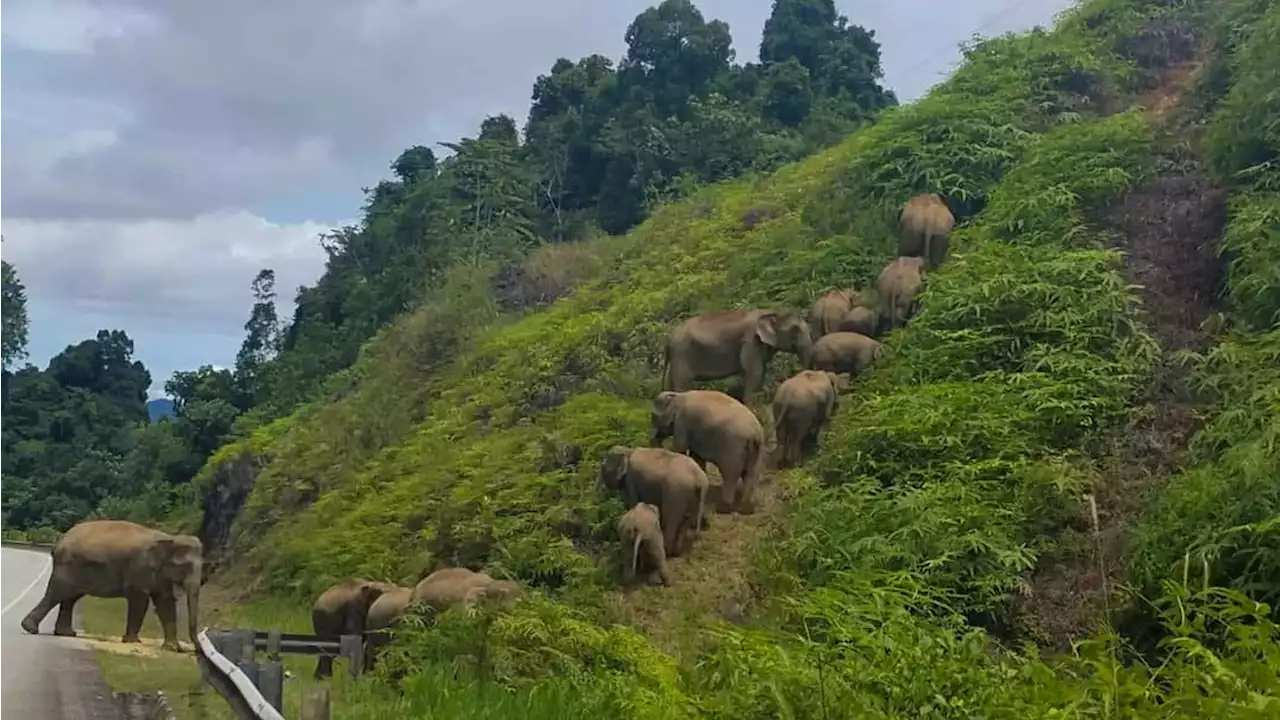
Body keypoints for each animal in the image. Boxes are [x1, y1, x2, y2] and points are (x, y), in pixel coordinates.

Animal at [19, 517, 204, 653]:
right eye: (185, 566)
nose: (194, 650)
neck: (170, 538)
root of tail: (60, 539)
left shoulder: (160, 574)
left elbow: (166, 603)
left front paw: (172, 648)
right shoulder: (140, 567)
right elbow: (139, 600)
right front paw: (132, 641)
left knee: (70, 598)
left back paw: (66, 633)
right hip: (67, 566)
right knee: (56, 594)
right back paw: (31, 628)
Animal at [665, 304, 814, 399]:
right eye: (795, 329)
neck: (771, 311)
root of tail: (669, 339)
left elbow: (761, 372)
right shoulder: (750, 341)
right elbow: (754, 372)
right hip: (682, 354)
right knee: (682, 384)